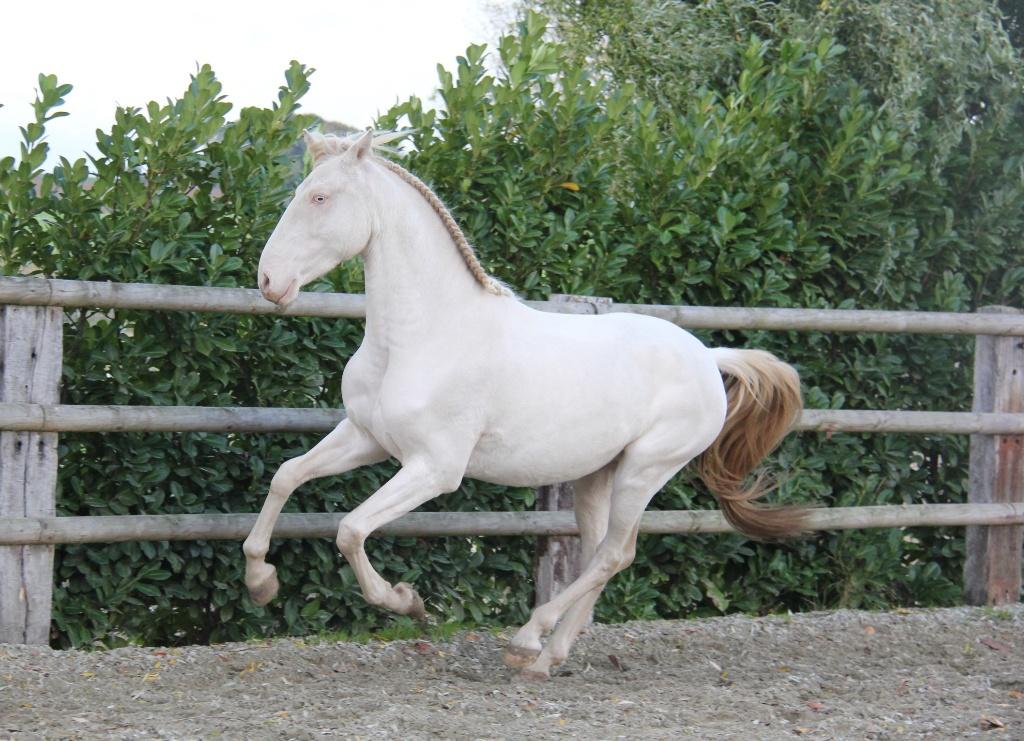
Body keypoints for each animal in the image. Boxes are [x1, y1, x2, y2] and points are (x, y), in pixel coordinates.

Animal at [242, 129, 805, 679]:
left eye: (319, 197)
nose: (269, 282)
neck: (421, 337)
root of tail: (708, 357)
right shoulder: (365, 438)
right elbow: (287, 476)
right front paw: (261, 581)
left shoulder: (434, 468)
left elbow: (351, 529)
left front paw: (405, 601)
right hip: (598, 475)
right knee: (601, 553)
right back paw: (547, 658)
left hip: (646, 470)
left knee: (615, 554)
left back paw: (526, 640)